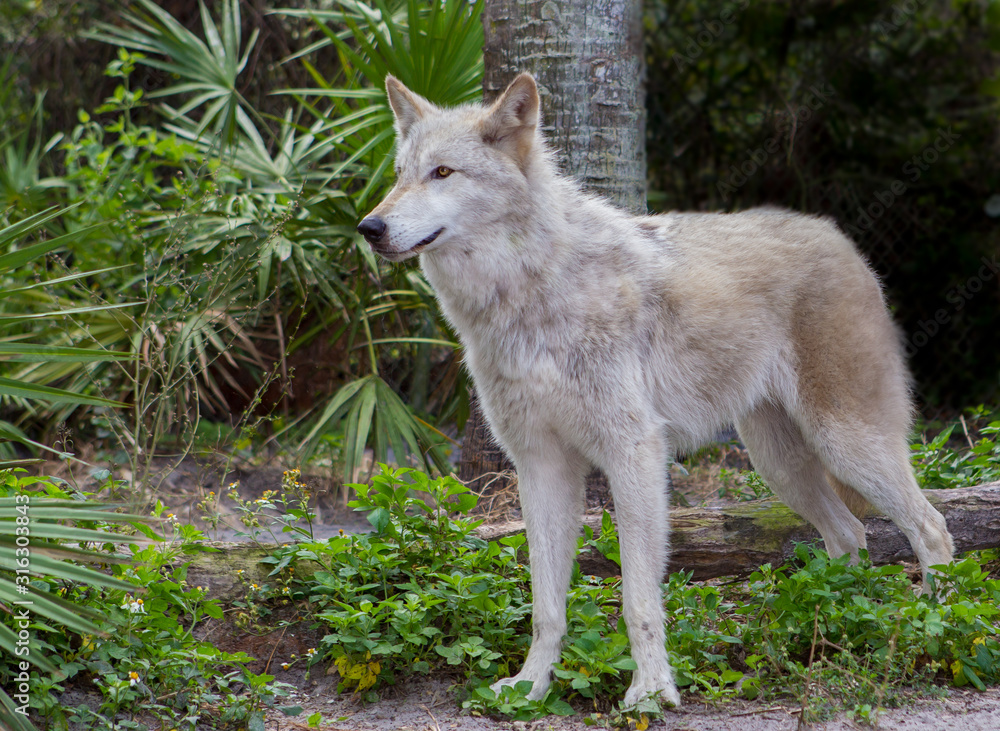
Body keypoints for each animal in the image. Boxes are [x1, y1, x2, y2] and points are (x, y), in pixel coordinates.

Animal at [357, 73, 954, 707]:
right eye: (400, 174)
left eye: (442, 172)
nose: (369, 228)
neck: (529, 291)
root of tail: (842, 239)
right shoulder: (541, 466)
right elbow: (546, 604)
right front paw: (529, 687)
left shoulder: (634, 454)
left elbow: (637, 597)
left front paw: (650, 691)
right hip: (781, 465)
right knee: (851, 534)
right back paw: (836, 626)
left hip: (844, 444)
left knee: (931, 529)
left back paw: (931, 630)